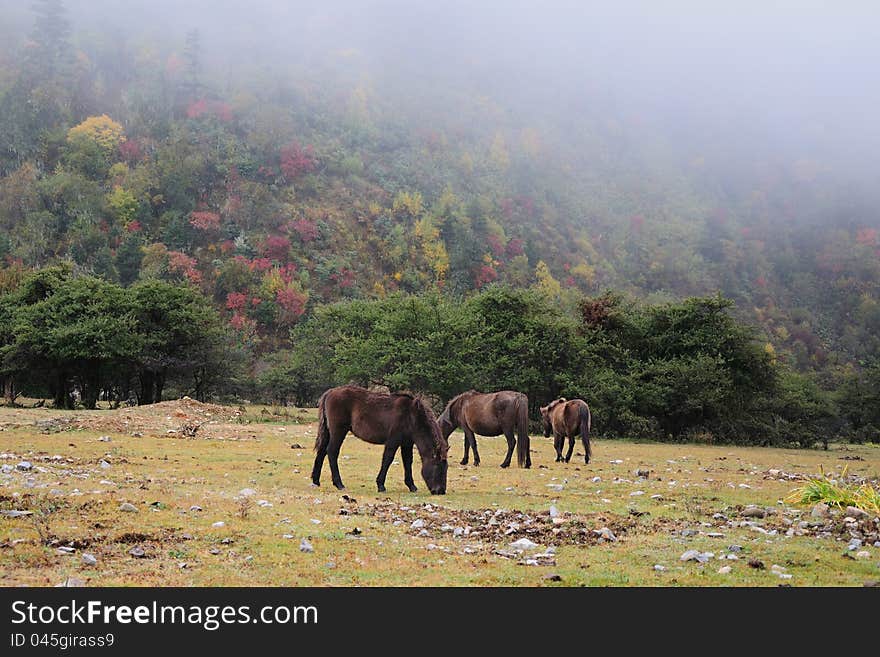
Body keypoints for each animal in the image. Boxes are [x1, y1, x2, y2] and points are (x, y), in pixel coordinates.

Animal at [310, 384, 446, 492]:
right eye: (438, 468)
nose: (441, 491)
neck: (411, 415)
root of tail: (330, 392)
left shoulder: (407, 443)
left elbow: (408, 462)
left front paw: (411, 486)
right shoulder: (393, 441)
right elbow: (387, 459)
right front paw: (381, 485)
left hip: (329, 432)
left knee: (321, 452)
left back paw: (316, 481)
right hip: (338, 432)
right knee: (332, 452)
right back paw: (339, 484)